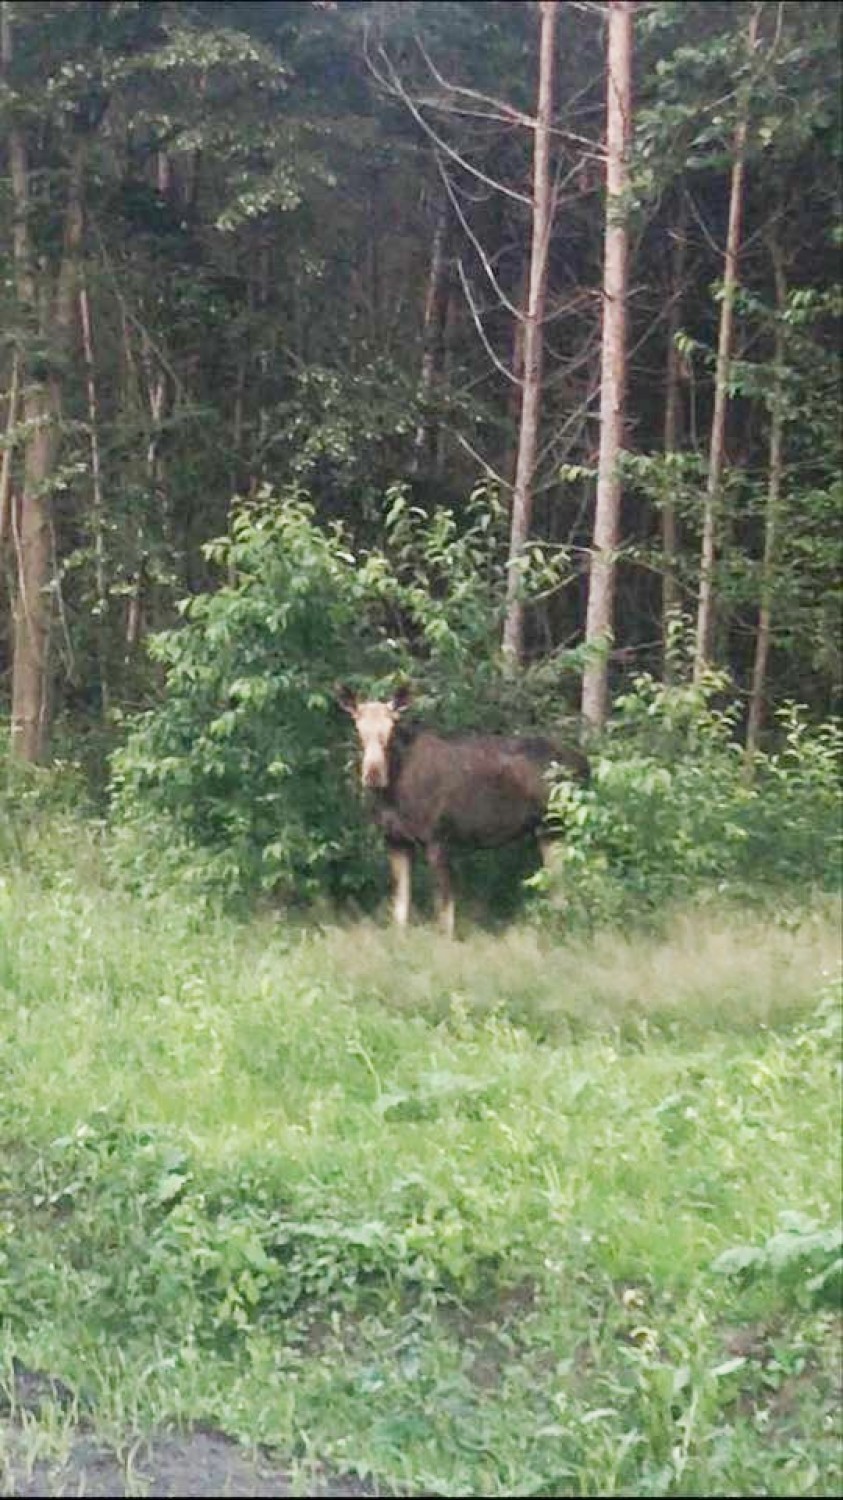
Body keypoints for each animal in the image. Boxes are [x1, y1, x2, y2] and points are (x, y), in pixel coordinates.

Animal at [334, 684, 585, 936]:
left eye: (392, 728)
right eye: (358, 728)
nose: (373, 775)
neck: (391, 794)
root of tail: (586, 764)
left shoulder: (437, 837)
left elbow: (444, 909)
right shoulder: (395, 840)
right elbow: (400, 906)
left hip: (556, 826)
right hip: (546, 831)